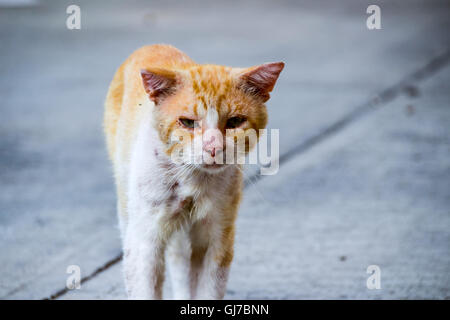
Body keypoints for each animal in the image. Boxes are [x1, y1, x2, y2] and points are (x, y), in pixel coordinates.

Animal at [103, 43, 284, 298]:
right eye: (187, 123)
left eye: (235, 121)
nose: (213, 147)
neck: (193, 179)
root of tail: (152, 44)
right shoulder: (144, 240)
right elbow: (145, 288)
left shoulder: (217, 236)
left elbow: (208, 289)